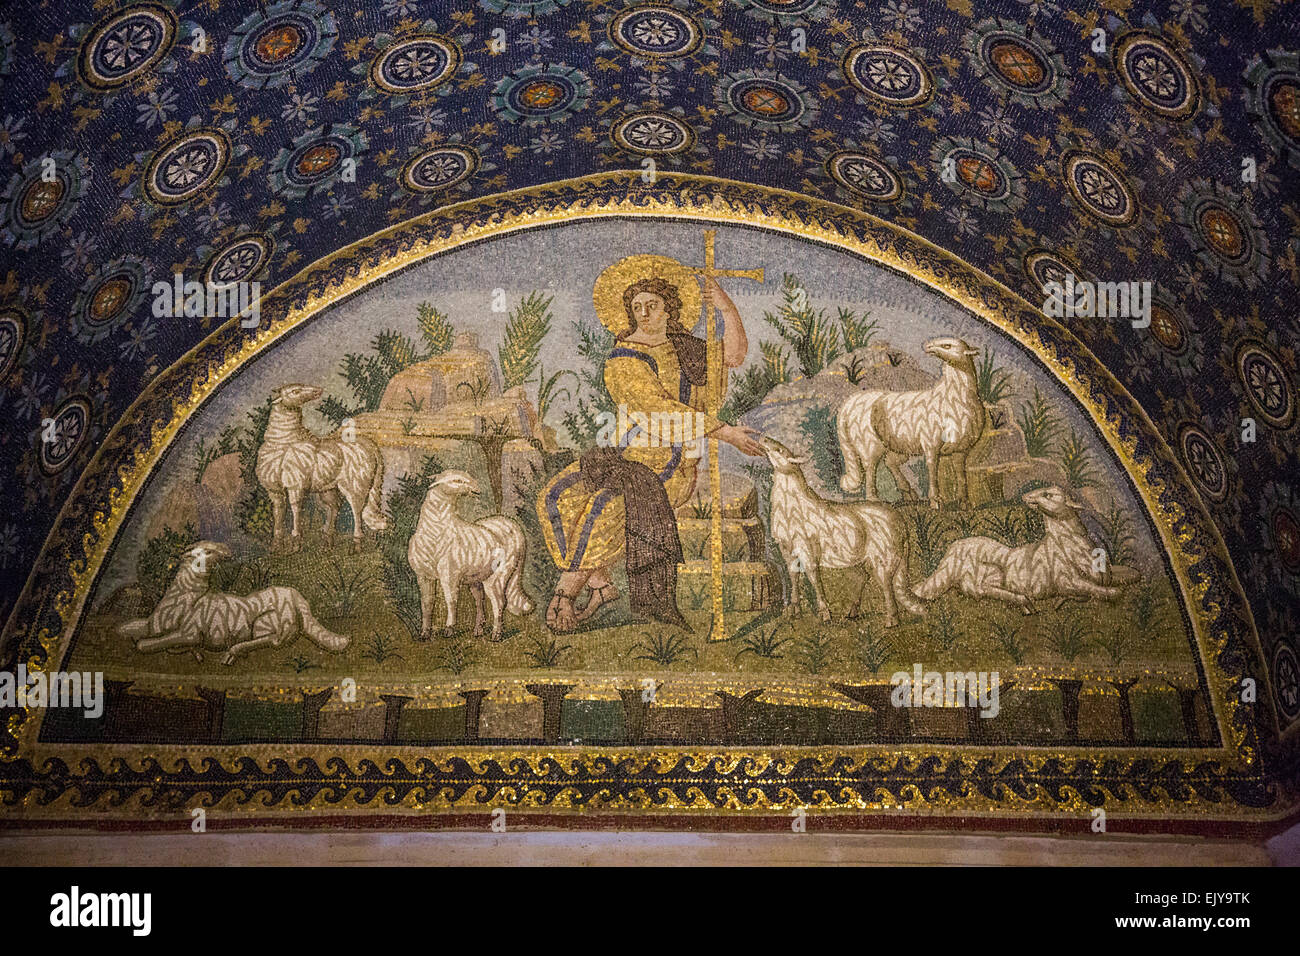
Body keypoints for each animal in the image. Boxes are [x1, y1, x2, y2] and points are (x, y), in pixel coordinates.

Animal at [403, 470, 530, 642]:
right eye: (457, 480)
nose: (476, 489)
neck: (435, 531)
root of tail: (515, 528)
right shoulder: (423, 576)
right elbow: (427, 604)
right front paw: (425, 633)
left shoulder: (450, 575)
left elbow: (451, 601)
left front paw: (449, 629)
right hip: (476, 579)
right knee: (480, 600)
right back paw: (478, 630)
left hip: (499, 575)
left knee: (499, 602)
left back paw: (496, 634)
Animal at [759, 434, 925, 629]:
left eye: (779, 450)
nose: (763, 438)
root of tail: (902, 524)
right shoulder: (786, 549)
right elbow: (793, 576)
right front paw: (795, 610)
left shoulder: (808, 549)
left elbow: (814, 579)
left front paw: (824, 614)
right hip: (857, 559)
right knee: (863, 577)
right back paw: (853, 612)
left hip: (884, 557)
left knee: (886, 585)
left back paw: (891, 620)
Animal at [832, 340, 982, 512]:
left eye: (947, 346)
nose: (928, 347)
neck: (954, 396)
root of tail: (848, 405)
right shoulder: (931, 445)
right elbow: (932, 470)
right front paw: (935, 501)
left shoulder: (961, 449)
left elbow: (961, 474)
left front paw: (965, 502)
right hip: (869, 443)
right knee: (870, 468)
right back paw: (874, 499)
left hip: (899, 446)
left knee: (890, 462)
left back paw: (909, 492)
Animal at [909, 486, 1144, 613]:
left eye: (1048, 494)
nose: (1026, 497)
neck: (1074, 546)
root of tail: (953, 549)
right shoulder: (1066, 581)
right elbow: (1105, 591)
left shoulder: (1107, 572)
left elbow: (1132, 573)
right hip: (994, 571)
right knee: (980, 589)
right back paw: (1024, 601)